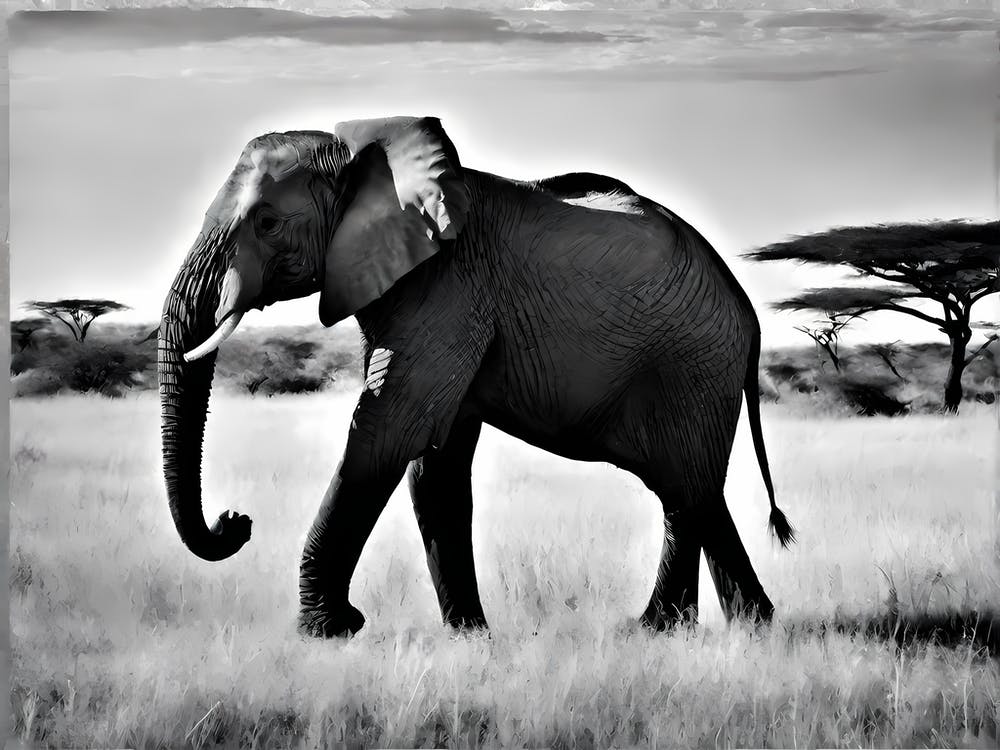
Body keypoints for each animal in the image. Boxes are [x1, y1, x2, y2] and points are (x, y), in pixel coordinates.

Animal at [159, 115, 795, 638]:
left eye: (267, 223)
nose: (236, 520)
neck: (365, 158)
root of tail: (744, 304)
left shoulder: (448, 286)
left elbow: (389, 432)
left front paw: (330, 630)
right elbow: (435, 462)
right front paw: (469, 637)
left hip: (693, 362)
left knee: (685, 489)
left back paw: (663, 630)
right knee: (694, 490)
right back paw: (741, 626)